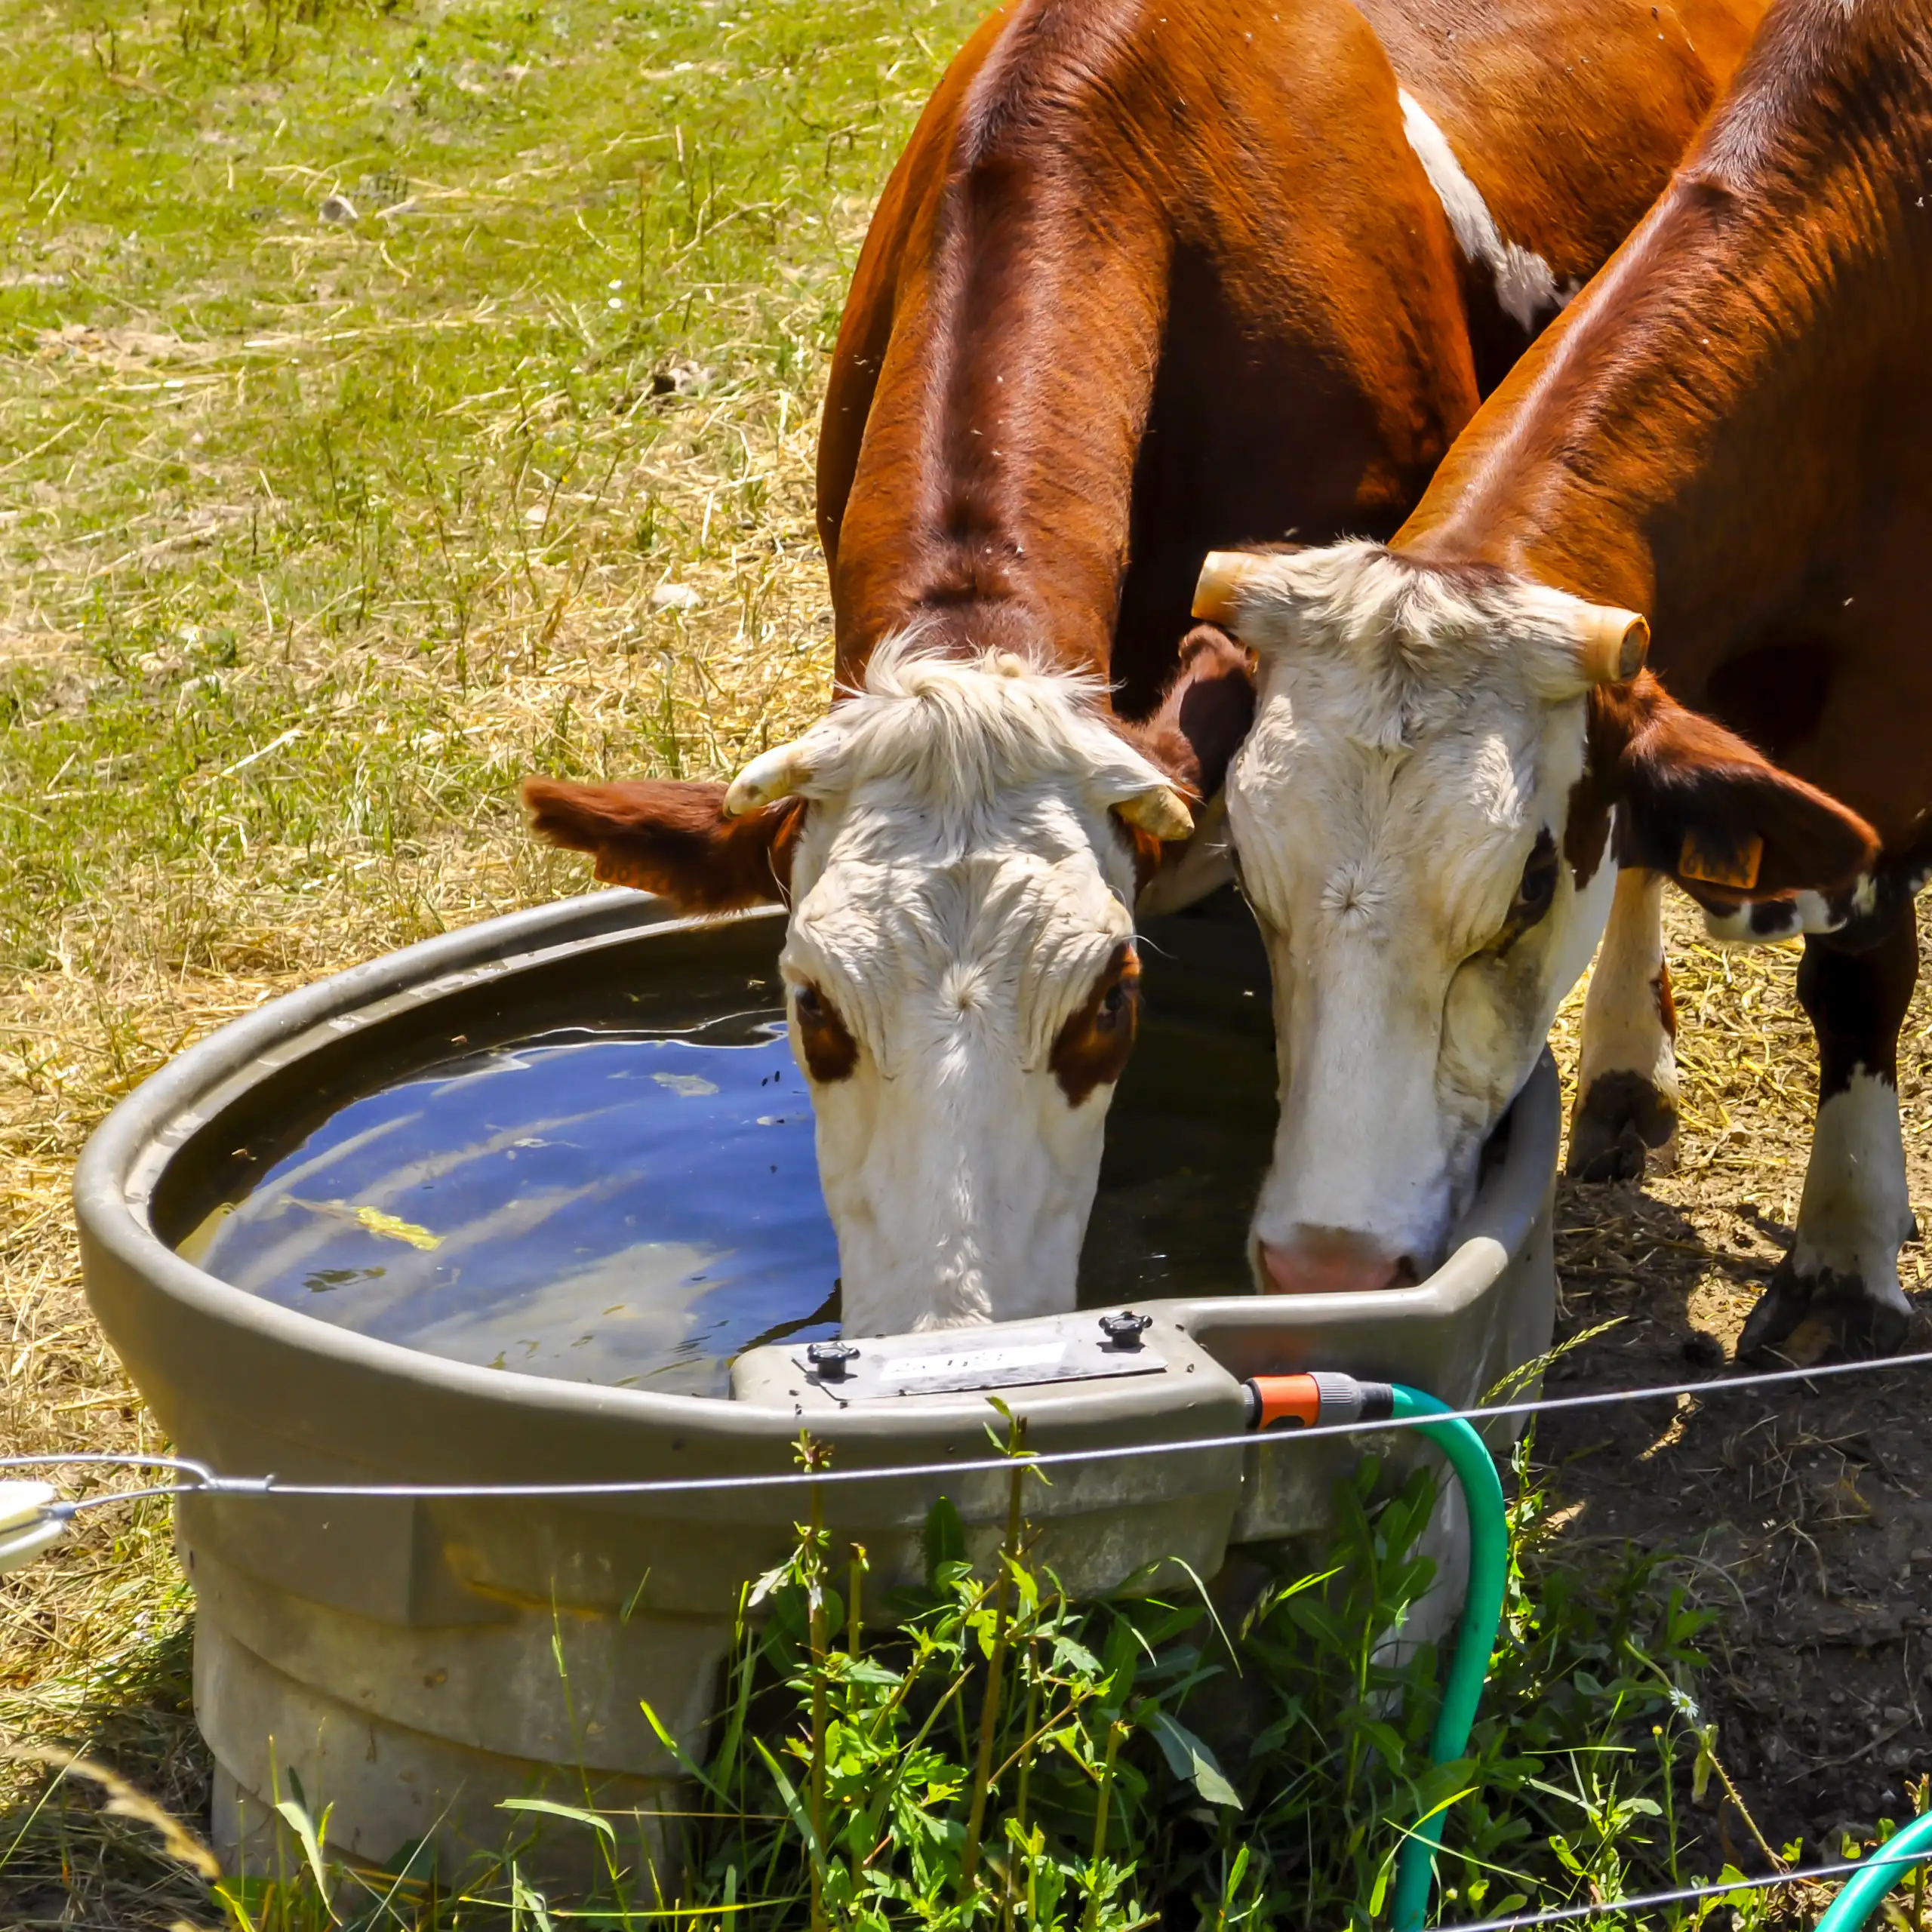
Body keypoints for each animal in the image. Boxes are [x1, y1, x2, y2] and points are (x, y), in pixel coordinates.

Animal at [1194, 0, 1931, 1360]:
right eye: (1254, 882)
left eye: (1528, 888)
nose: (1327, 1264)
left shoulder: (1888, 739)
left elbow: (1857, 964)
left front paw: (1844, 1256)